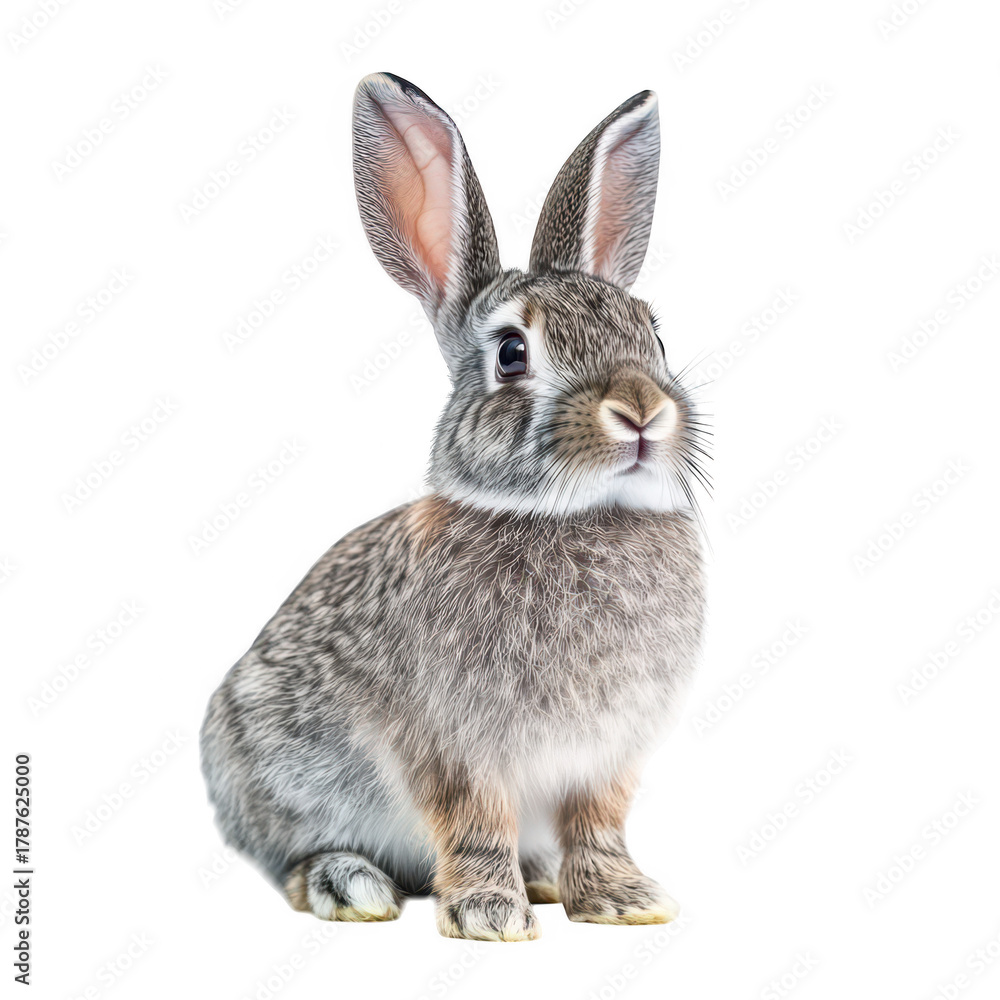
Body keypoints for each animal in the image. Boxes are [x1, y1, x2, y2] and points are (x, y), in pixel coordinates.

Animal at [200, 72, 708, 942]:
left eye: (655, 338)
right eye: (512, 354)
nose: (642, 410)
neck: (563, 514)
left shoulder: (606, 758)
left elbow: (599, 826)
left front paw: (624, 902)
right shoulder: (453, 746)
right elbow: (473, 821)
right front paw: (488, 916)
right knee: (290, 858)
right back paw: (351, 885)